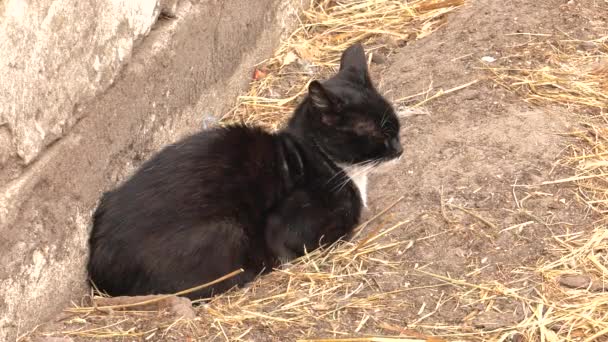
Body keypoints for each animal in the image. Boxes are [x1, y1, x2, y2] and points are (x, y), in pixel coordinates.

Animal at [88, 42, 404, 300]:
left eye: (396, 126)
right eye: (377, 133)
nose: (399, 148)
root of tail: (98, 267)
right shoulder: (286, 226)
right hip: (227, 231)